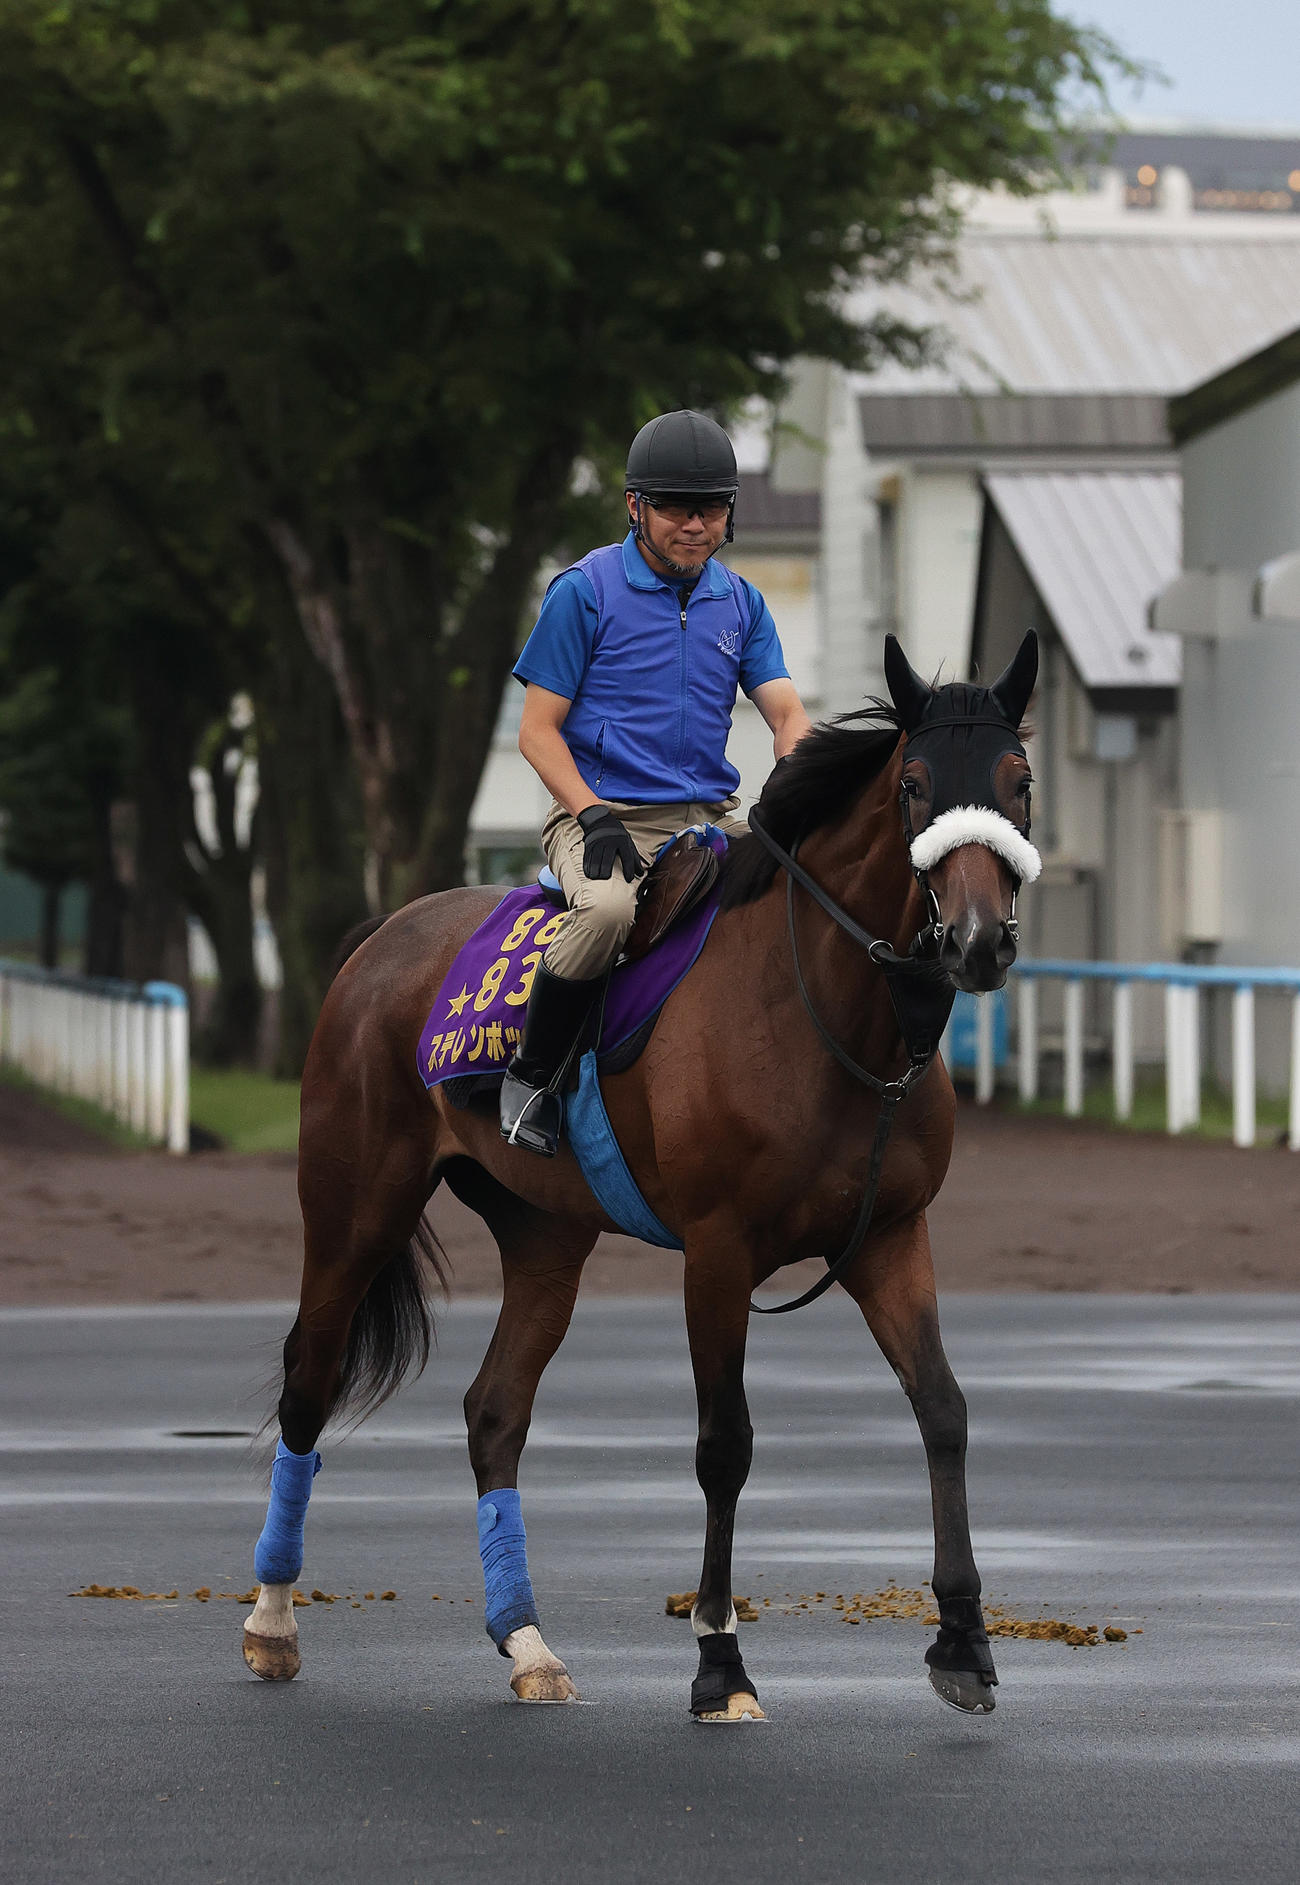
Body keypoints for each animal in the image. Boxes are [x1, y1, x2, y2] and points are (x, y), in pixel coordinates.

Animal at [241, 630, 1041, 1721]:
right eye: (914, 784)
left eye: (1020, 778)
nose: (977, 940)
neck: (821, 1008)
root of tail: (381, 939)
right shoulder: (718, 1251)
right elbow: (723, 1444)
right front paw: (719, 1660)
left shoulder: (888, 1235)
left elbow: (943, 1410)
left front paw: (963, 1638)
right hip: (354, 1204)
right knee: (308, 1382)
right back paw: (272, 1620)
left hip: (545, 1235)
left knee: (494, 1410)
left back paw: (527, 1641)